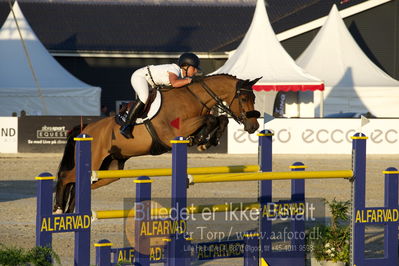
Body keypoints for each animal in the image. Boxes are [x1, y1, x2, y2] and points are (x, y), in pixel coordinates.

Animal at [54, 74, 262, 213]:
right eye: (244, 98)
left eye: (254, 98)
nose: (254, 126)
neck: (193, 97)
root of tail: (86, 128)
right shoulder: (176, 131)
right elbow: (210, 119)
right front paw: (203, 140)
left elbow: (220, 120)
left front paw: (206, 140)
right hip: (94, 160)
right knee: (66, 176)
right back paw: (58, 208)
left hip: (110, 169)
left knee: (80, 185)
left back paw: (72, 212)